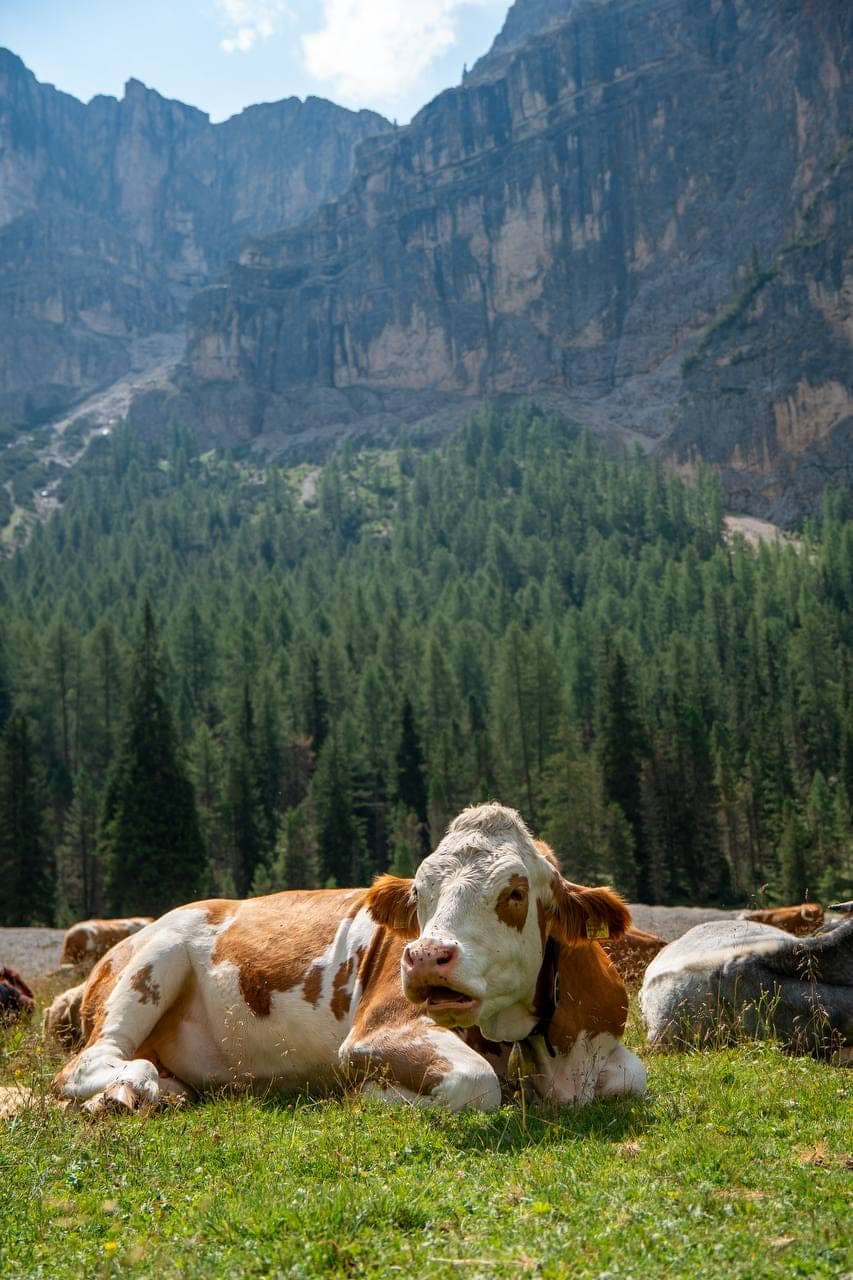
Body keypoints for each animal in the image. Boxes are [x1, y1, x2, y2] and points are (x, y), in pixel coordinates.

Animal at [52, 803, 646, 1114]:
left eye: (516, 893)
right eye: (420, 893)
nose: (424, 957)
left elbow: (631, 1076)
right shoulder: (377, 1032)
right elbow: (476, 1083)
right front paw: (374, 1094)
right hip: (154, 962)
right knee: (89, 1062)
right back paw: (130, 1089)